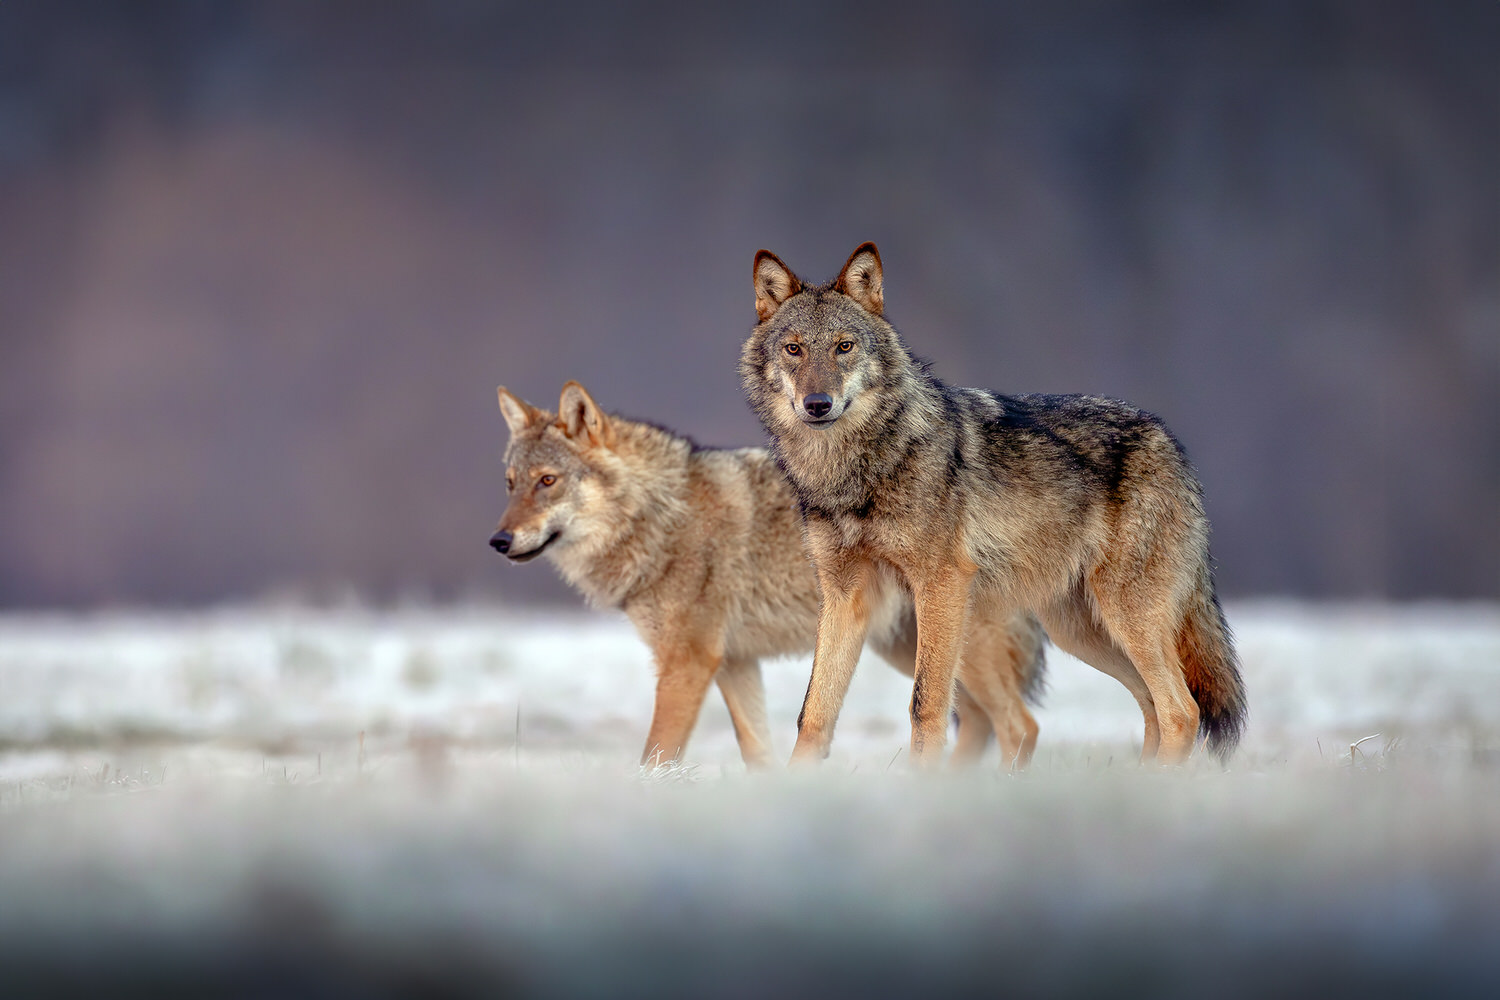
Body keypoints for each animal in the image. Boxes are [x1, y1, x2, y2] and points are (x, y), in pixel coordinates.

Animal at [489, 381, 1047, 769]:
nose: (498, 542)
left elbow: (655, 756)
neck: (661, 516)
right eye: (511, 484)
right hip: (906, 647)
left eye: (548, 482)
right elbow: (756, 751)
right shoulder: (734, 663)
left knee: (1020, 726)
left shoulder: (688, 661)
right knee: (982, 722)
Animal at [742, 242, 1246, 766]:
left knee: (1181, 712)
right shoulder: (845, 596)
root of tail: (1170, 441)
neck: (857, 469)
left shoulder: (941, 584)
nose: (817, 403)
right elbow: (814, 713)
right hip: (1083, 632)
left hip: (1124, 617)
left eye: (844, 347)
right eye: (794, 349)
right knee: (1152, 707)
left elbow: (926, 704)